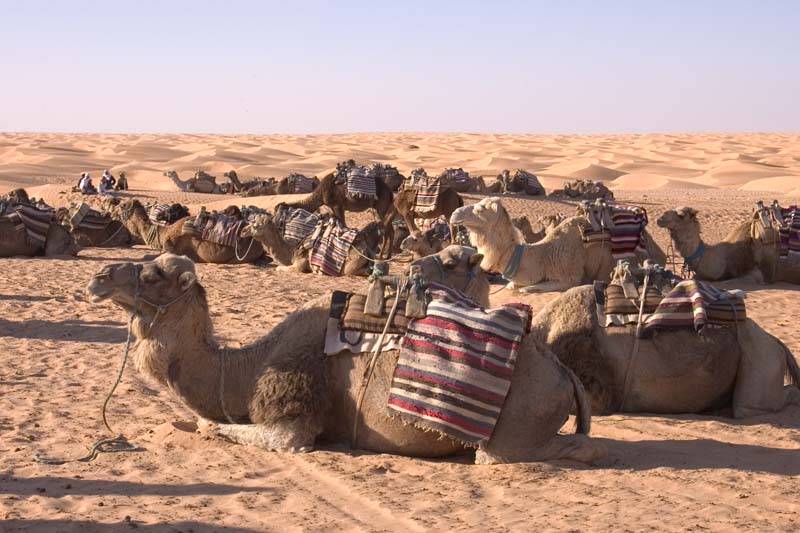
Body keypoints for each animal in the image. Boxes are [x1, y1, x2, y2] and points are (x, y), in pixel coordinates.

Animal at [86, 249, 606, 464]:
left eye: (152, 275)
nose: (98, 277)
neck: (244, 368)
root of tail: (563, 374)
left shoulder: (292, 417)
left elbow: (224, 428)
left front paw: (205, 426)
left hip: (518, 423)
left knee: (521, 453)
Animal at [244, 215, 380, 276]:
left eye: (255, 224)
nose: (243, 231)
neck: (293, 250)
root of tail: (366, 249)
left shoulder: (301, 263)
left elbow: (279, 267)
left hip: (350, 264)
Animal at [451, 197, 666, 292]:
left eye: (481, 209)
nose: (455, 214)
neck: (542, 255)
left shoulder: (569, 276)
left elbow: (528, 288)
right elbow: (513, 285)